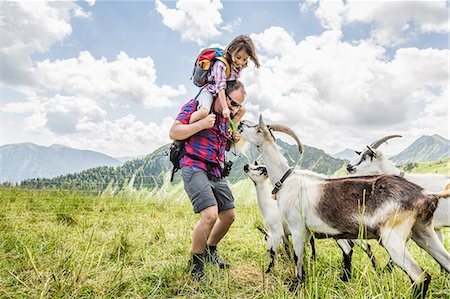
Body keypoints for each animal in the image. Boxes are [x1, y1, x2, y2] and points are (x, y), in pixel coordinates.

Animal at [239, 116, 450, 298]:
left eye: (257, 128)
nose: (240, 123)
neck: (286, 180)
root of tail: (425, 194)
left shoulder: (297, 228)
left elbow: (298, 260)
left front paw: (296, 287)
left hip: (393, 238)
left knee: (421, 277)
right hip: (423, 232)